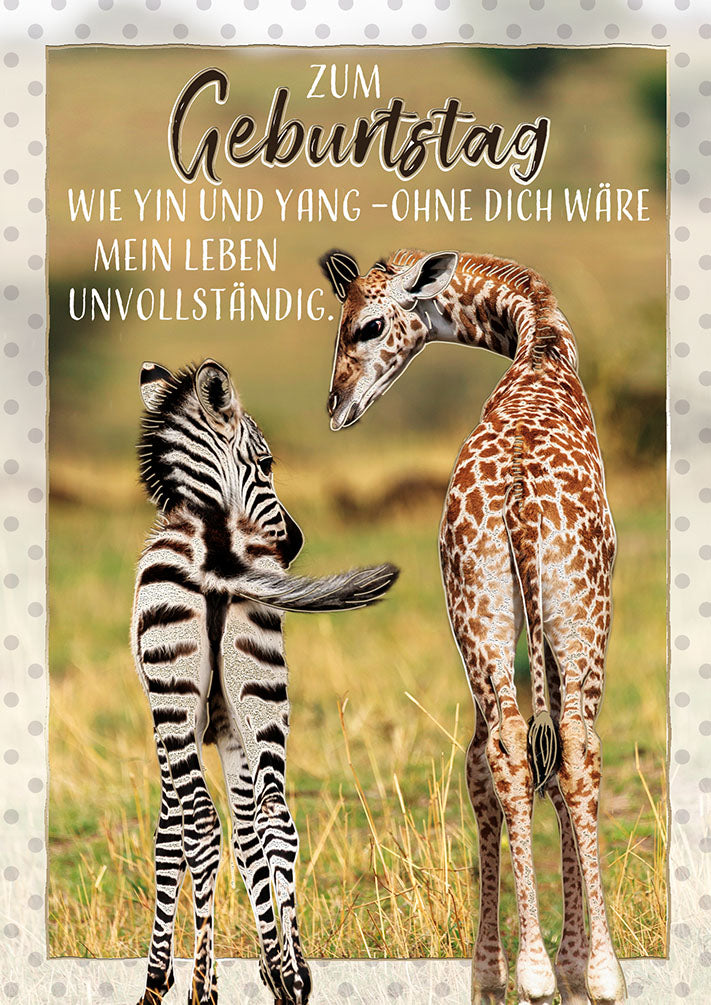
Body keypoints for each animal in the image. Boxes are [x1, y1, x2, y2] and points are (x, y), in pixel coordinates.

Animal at [132, 358, 399, 1005]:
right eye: (270, 463)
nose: (295, 544)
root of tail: (217, 541)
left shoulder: (167, 726)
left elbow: (169, 838)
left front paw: (162, 979)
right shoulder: (228, 724)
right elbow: (250, 836)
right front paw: (272, 963)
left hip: (174, 699)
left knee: (202, 826)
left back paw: (202, 991)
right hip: (263, 686)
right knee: (276, 819)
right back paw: (295, 977)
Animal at [319, 248, 627, 1005]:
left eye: (367, 325)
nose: (336, 406)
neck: (537, 337)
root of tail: (518, 498)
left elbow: (502, 761)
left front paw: (502, 970)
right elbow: (560, 762)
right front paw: (570, 964)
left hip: (477, 607)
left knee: (499, 751)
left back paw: (522, 971)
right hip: (582, 614)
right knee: (574, 747)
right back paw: (591, 972)